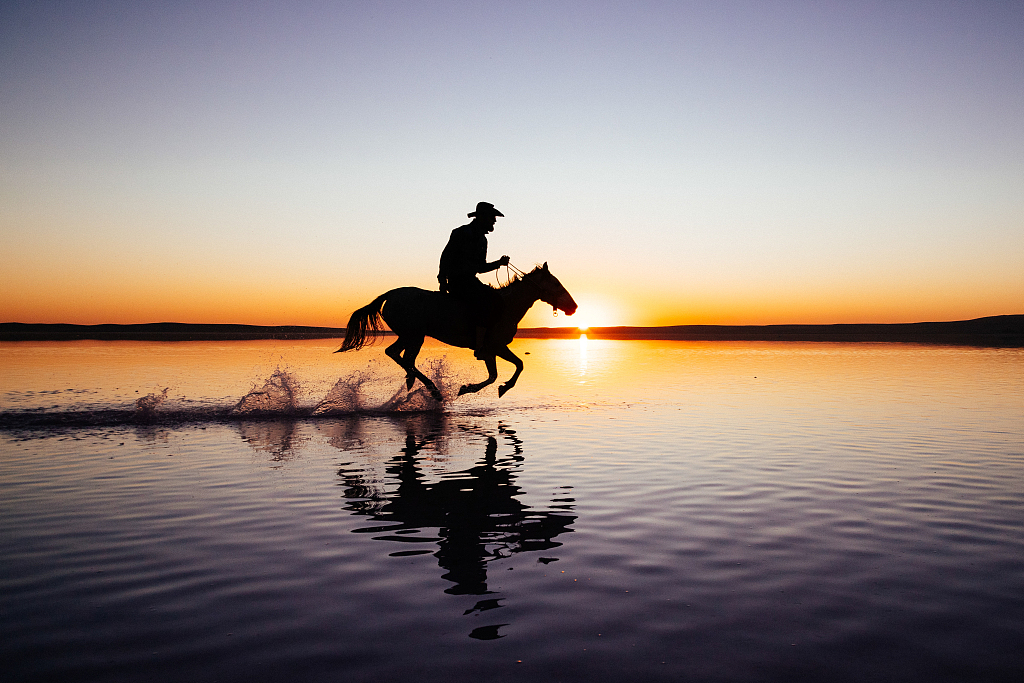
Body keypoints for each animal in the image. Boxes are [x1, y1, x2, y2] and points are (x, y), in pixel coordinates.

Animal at [335, 264, 577, 401]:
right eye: (556, 283)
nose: (573, 307)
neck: (507, 306)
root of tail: (391, 294)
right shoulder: (495, 346)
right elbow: (512, 368)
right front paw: (493, 388)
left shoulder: (492, 350)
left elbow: (501, 372)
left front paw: (477, 388)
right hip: (415, 336)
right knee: (404, 358)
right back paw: (432, 389)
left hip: (408, 335)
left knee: (397, 354)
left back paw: (413, 381)